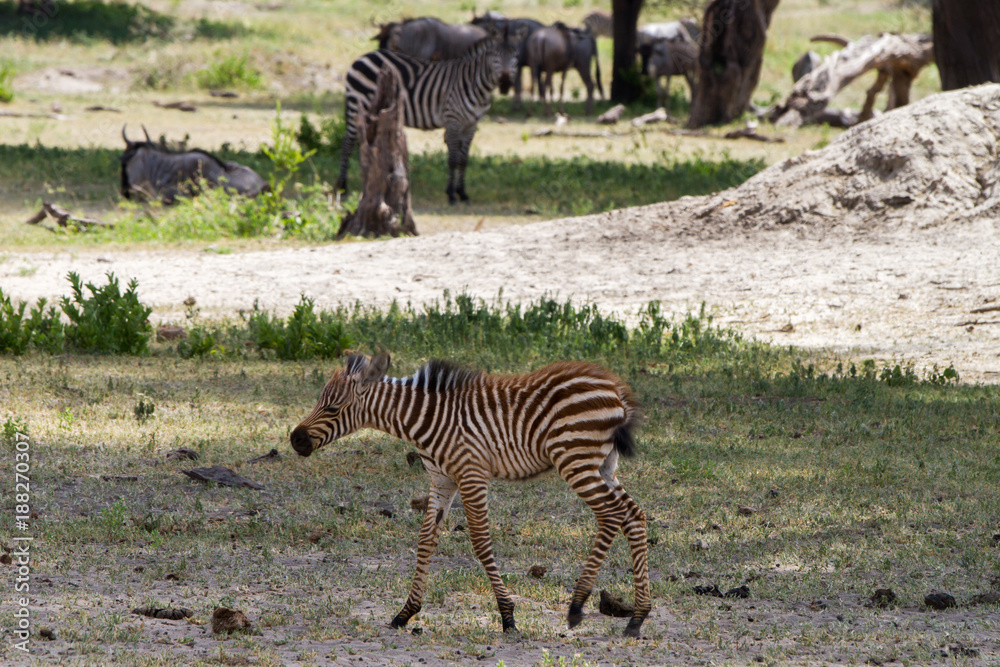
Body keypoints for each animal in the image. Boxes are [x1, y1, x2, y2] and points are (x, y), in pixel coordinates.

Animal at [290, 352, 651, 637]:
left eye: (333, 407)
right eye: (321, 401)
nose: (295, 440)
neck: (426, 420)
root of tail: (616, 388)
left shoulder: (471, 474)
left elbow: (479, 540)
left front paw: (507, 616)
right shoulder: (442, 481)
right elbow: (426, 540)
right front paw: (405, 613)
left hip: (575, 459)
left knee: (610, 515)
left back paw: (577, 607)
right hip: (603, 464)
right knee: (633, 515)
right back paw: (636, 618)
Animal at [336, 27, 521, 205]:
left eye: (515, 56)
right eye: (495, 55)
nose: (505, 82)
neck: (476, 85)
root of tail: (364, 57)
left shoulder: (471, 125)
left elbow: (463, 160)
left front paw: (462, 193)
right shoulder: (453, 121)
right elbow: (453, 159)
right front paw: (451, 194)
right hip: (356, 104)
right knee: (347, 146)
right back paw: (342, 187)